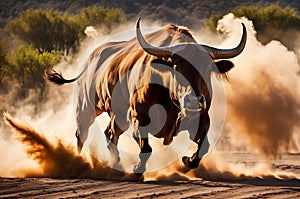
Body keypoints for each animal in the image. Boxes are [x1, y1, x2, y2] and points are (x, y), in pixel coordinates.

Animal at [46, 18, 246, 174]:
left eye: (207, 68)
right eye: (177, 67)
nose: (193, 101)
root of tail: (90, 60)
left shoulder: (201, 118)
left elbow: (203, 146)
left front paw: (187, 161)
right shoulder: (139, 118)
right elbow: (146, 147)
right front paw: (137, 169)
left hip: (118, 116)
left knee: (110, 134)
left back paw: (115, 162)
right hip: (87, 107)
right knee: (82, 134)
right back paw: (78, 161)